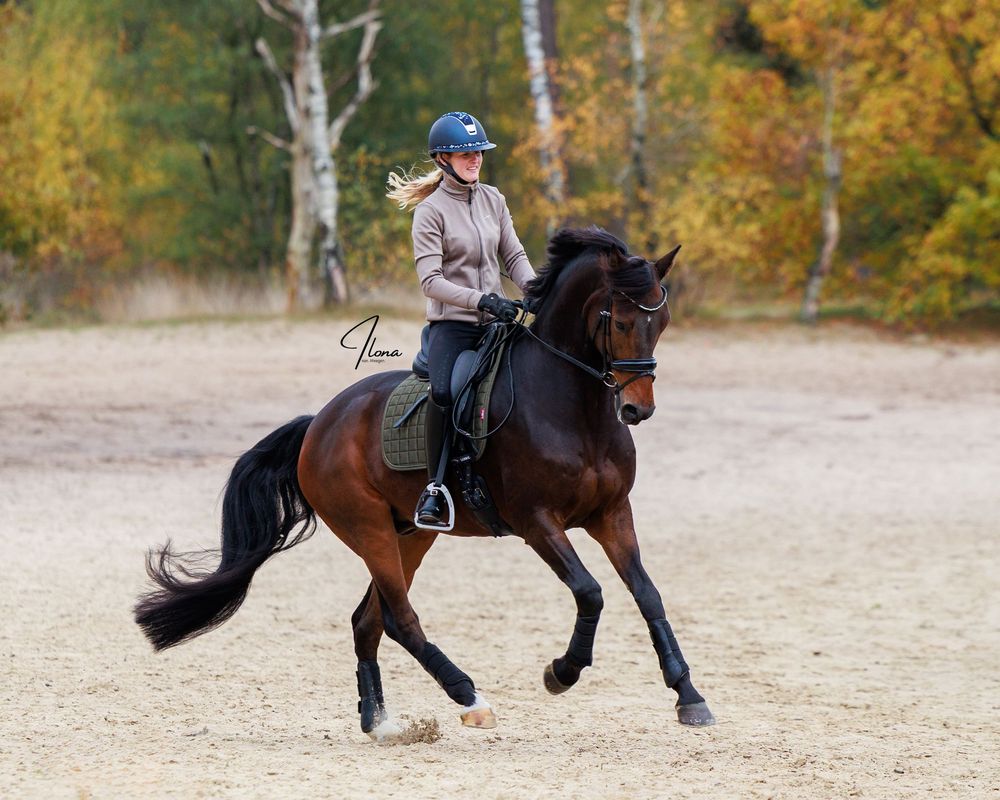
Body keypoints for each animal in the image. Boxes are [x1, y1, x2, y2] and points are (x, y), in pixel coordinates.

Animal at [134, 226, 716, 739]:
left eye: (662, 320)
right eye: (620, 320)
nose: (637, 409)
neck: (573, 409)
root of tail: (318, 423)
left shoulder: (611, 513)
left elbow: (648, 594)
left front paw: (688, 696)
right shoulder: (537, 522)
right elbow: (590, 592)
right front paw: (561, 672)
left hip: (410, 535)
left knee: (369, 621)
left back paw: (379, 722)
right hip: (368, 528)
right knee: (400, 619)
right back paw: (470, 698)